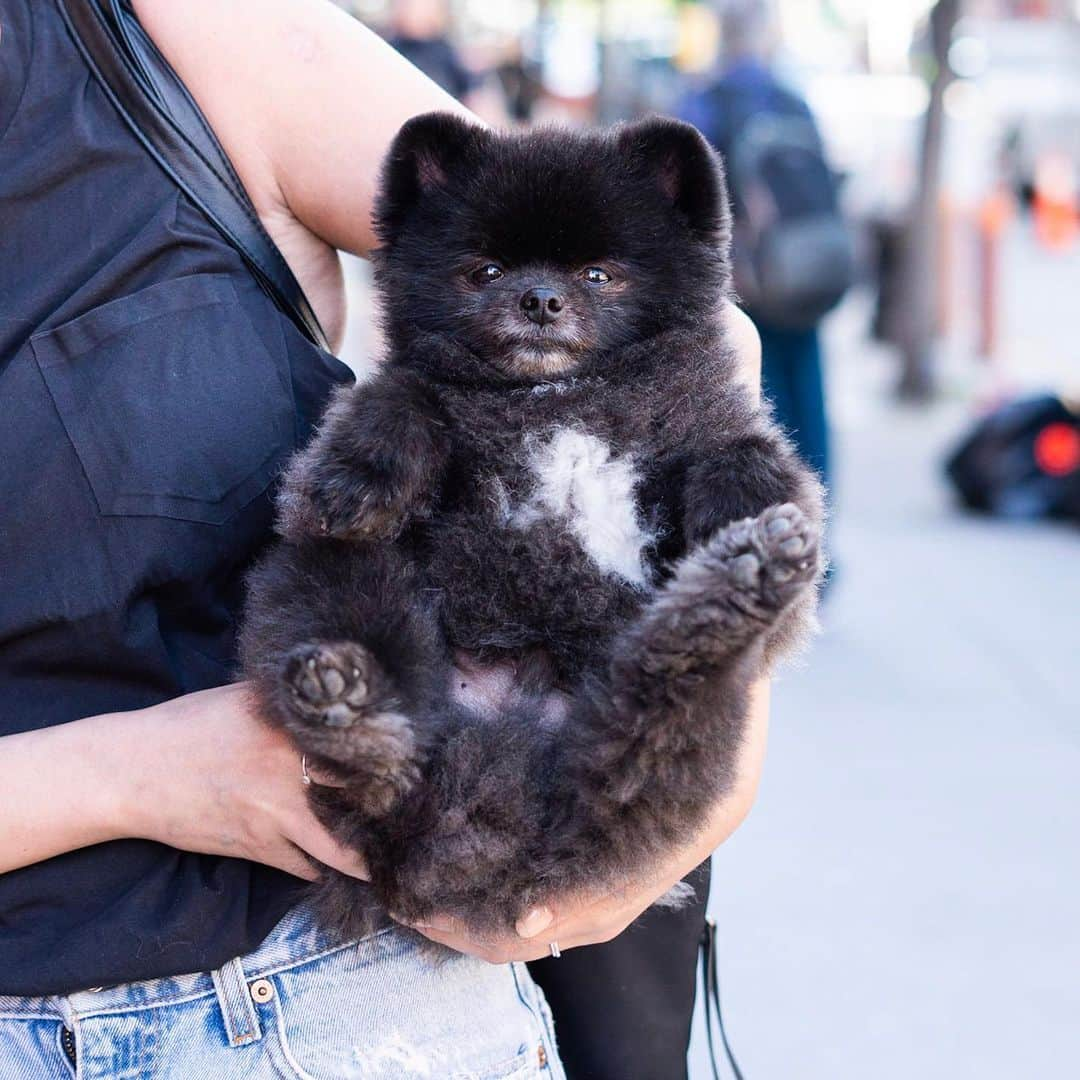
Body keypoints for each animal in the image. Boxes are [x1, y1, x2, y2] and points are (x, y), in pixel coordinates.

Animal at [240, 109, 820, 937]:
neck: (558, 397)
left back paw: (743, 584)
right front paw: (358, 475)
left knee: (649, 717)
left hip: (674, 743)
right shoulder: (417, 400)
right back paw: (354, 714)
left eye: (598, 275)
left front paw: (760, 514)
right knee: (377, 755)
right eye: (484, 271)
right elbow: (403, 396)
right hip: (334, 576)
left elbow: (743, 452)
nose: (541, 298)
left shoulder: (705, 424)